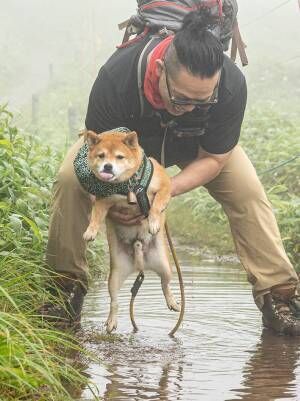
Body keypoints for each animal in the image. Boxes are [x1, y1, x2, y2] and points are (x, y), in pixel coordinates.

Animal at [80, 128, 180, 332]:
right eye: (101, 155)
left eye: (119, 157)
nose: (107, 166)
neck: (128, 185)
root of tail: (140, 262)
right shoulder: (103, 201)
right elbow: (95, 216)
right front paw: (91, 231)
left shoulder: (164, 187)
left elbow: (156, 205)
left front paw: (153, 222)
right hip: (114, 277)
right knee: (114, 301)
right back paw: (111, 321)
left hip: (165, 267)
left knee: (165, 284)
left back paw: (172, 301)